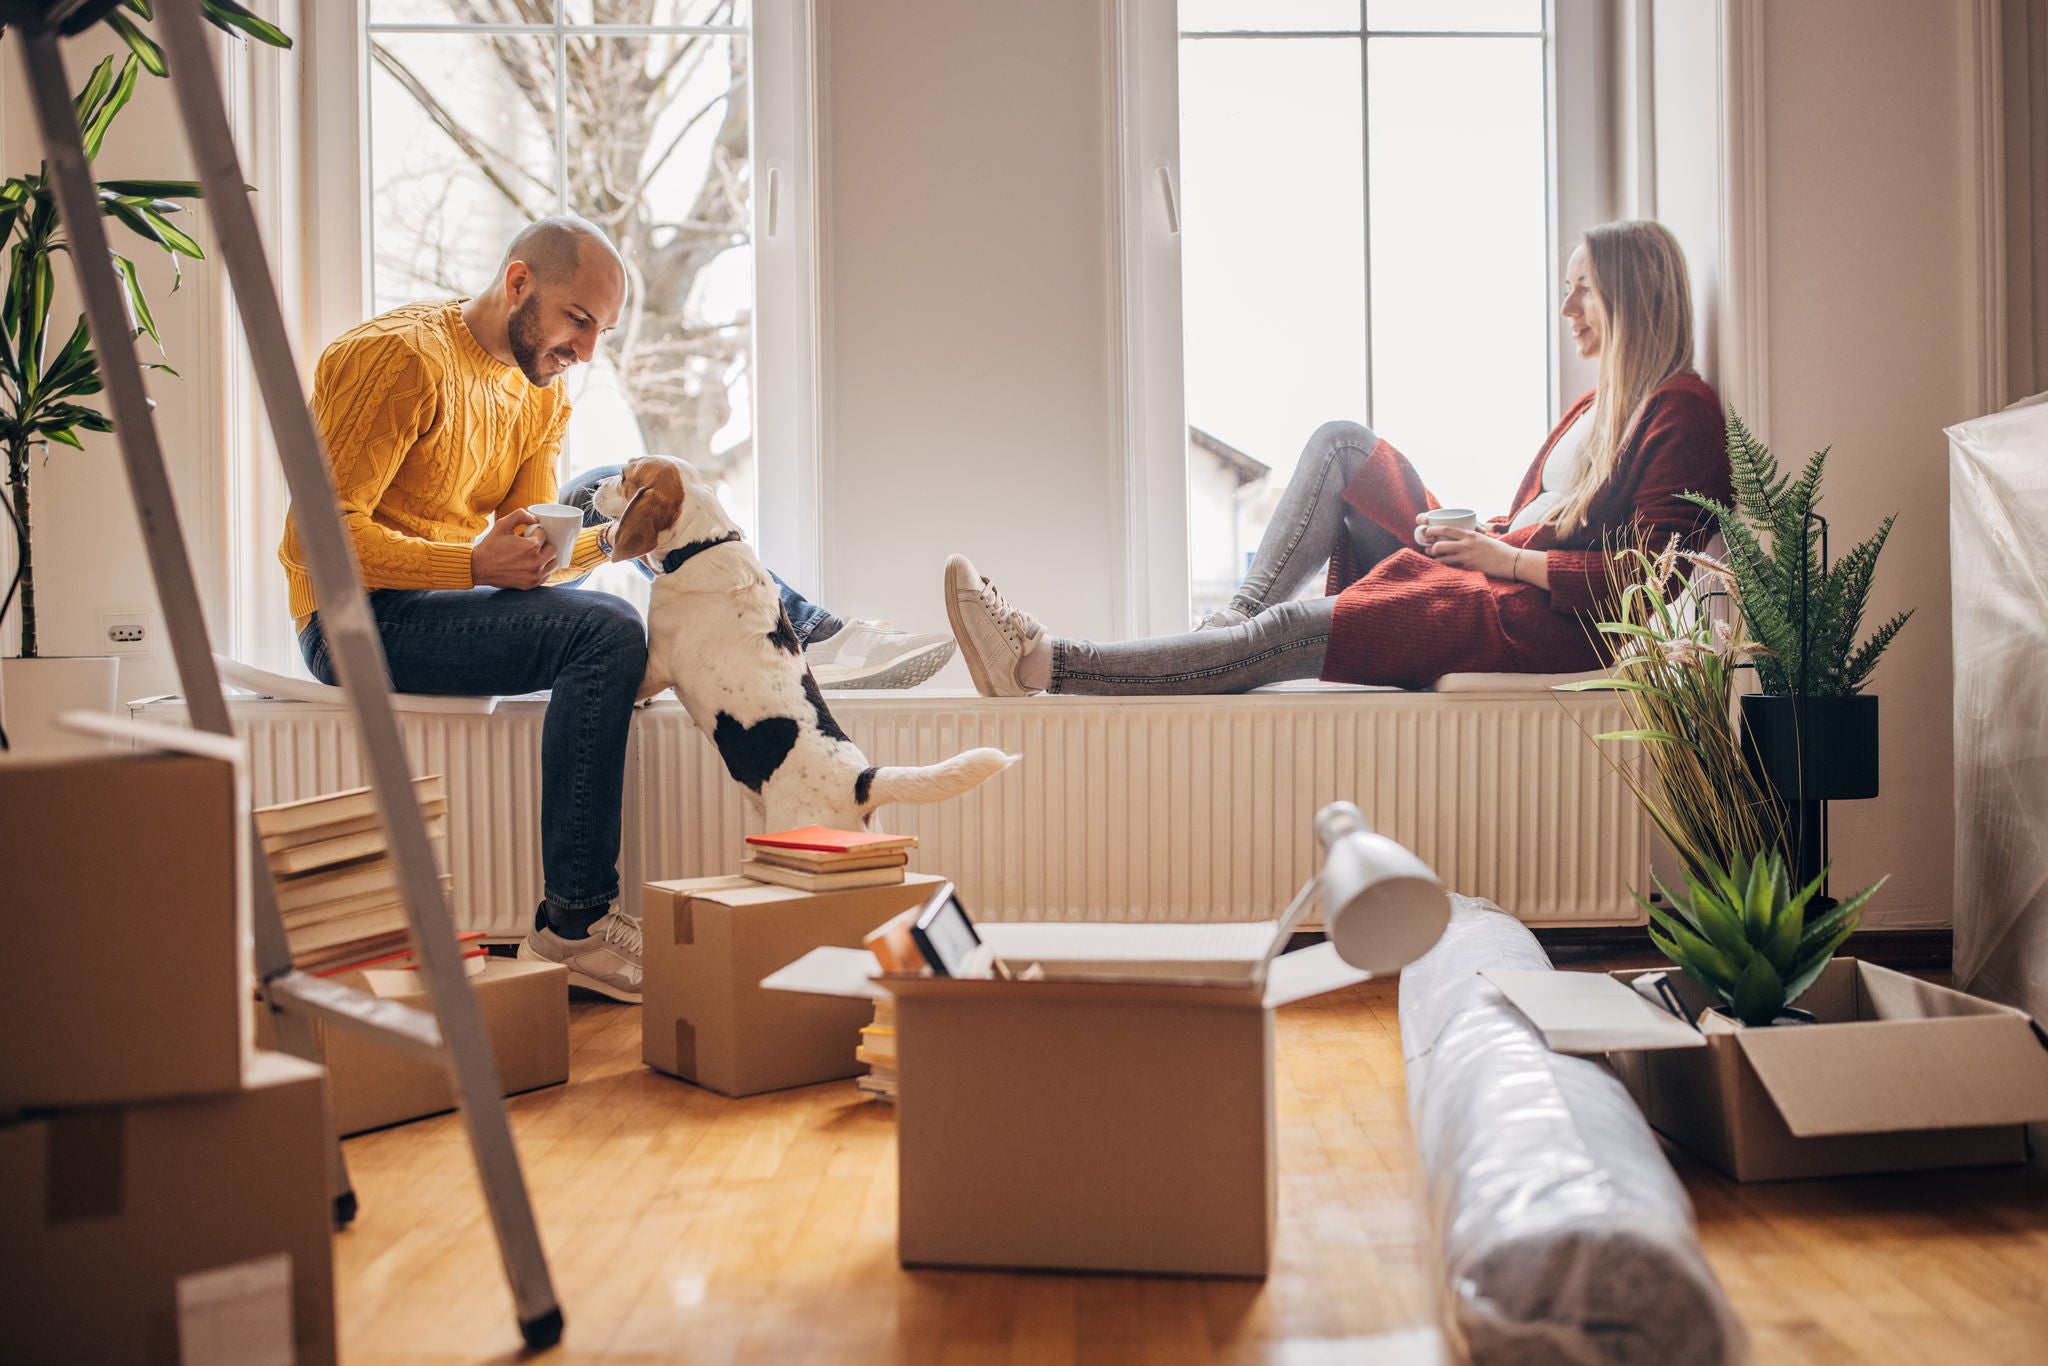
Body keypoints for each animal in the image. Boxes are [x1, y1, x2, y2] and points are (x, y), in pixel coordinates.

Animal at [593, 456, 1015, 835]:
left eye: (626, 475)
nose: (594, 486)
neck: (705, 545)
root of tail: (858, 782)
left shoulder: (659, 663)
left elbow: (644, 680)